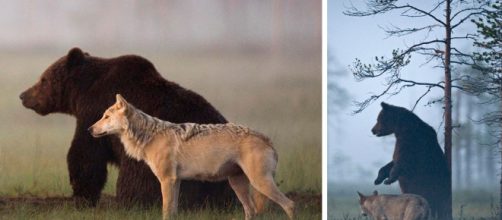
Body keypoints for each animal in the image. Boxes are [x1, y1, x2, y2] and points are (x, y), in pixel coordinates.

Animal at [19, 47, 235, 208]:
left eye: (43, 79)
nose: (23, 95)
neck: (82, 91)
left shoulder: (93, 111)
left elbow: (86, 153)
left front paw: (81, 195)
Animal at [89, 94, 294, 220]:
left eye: (106, 117)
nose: (89, 129)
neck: (149, 136)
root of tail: (267, 139)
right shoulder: (176, 181)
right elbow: (173, 211)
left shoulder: (167, 180)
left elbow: (166, 211)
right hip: (238, 184)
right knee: (251, 212)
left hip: (259, 183)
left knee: (290, 205)